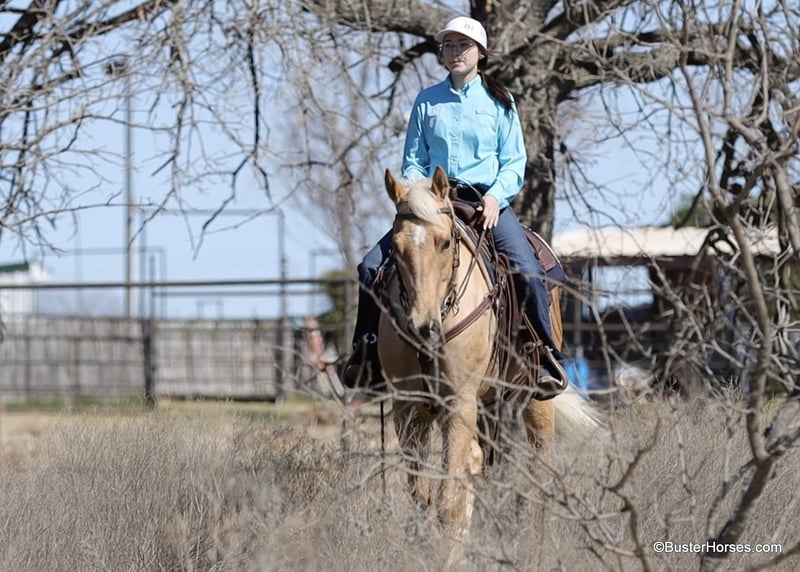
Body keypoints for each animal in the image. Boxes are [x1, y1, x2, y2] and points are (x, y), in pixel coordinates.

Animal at [375, 166, 603, 559]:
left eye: (445, 243)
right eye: (397, 248)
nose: (423, 325)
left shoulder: (460, 403)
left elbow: (447, 500)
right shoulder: (408, 409)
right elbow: (422, 498)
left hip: (536, 400)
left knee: (540, 471)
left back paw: (537, 553)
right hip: (490, 404)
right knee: (483, 462)